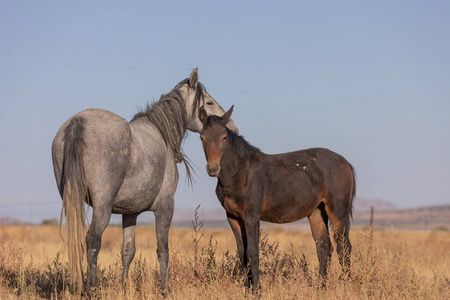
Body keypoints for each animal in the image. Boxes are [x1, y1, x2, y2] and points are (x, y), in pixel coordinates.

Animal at [51, 69, 237, 296]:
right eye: (209, 102)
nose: (232, 129)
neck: (161, 133)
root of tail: (78, 122)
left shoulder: (129, 213)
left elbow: (127, 251)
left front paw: (123, 288)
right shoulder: (165, 207)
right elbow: (163, 249)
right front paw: (165, 290)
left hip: (72, 201)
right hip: (102, 206)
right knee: (93, 240)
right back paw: (91, 290)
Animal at [199, 106, 356, 290]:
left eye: (224, 137)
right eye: (202, 137)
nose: (213, 169)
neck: (241, 173)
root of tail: (344, 161)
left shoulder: (252, 216)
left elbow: (252, 252)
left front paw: (257, 289)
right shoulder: (233, 218)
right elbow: (242, 254)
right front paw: (247, 289)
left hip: (337, 211)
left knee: (344, 246)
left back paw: (347, 285)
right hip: (317, 212)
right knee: (324, 247)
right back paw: (321, 287)